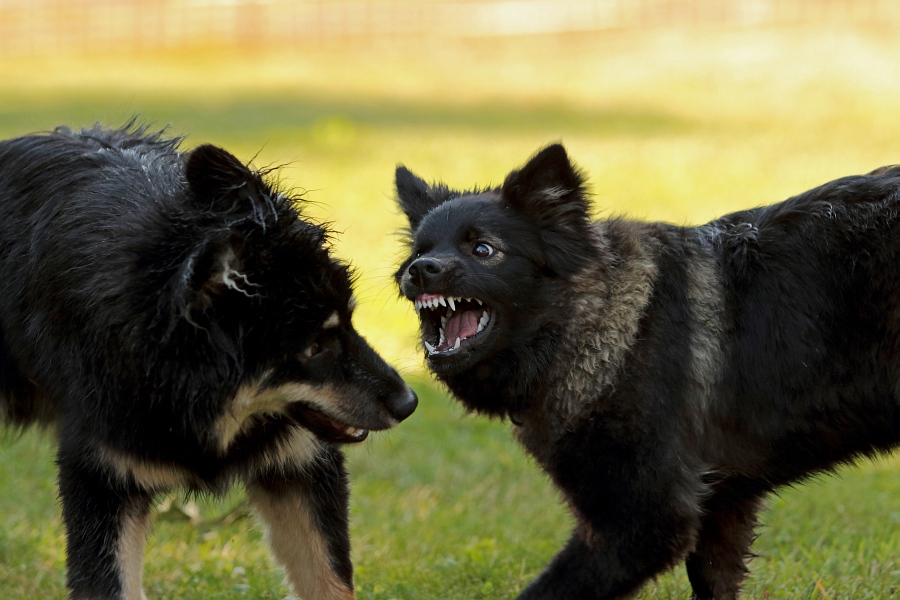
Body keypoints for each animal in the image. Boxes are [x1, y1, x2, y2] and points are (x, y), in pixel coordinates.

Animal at [0, 123, 414, 600]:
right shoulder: (101, 479)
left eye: (349, 319)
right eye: (315, 347)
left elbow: (329, 582)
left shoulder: (299, 466)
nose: (409, 403)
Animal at [394, 145, 900, 600]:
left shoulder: (641, 523)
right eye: (419, 250)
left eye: (483, 249)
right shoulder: (722, 508)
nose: (419, 270)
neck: (603, 320)